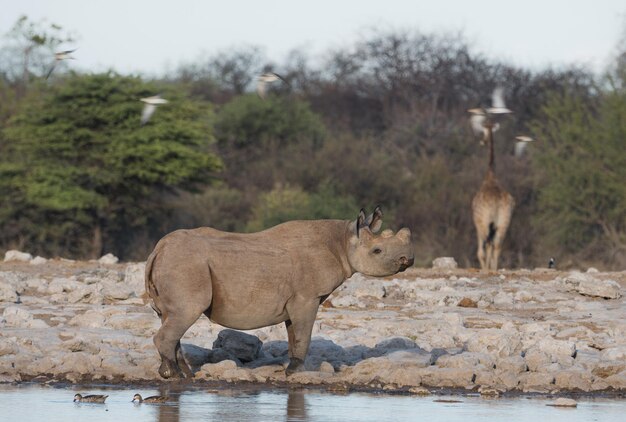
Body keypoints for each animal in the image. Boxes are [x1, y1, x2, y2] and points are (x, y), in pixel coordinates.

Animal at [470, 121, 516, 270]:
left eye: (483, 132)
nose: (482, 142)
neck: (491, 175)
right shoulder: (495, 225)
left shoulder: (481, 223)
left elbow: (484, 249)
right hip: (504, 222)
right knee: (497, 245)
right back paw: (494, 268)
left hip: (483, 223)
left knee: (484, 247)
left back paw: (486, 269)